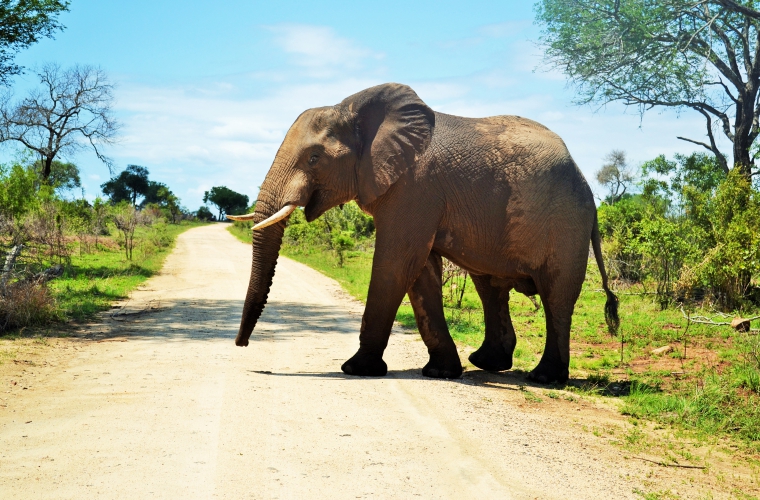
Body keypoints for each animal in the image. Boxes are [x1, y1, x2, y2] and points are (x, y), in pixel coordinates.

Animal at [229, 84, 620, 384]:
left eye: (313, 158)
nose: (241, 346)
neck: (353, 109)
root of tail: (587, 186)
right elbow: (420, 272)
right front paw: (440, 373)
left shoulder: (414, 188)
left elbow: (395, 262)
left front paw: (356, 369)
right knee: (489, 287)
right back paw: (486, 364)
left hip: (566, 223)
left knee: (556, 295)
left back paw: (543, 378)